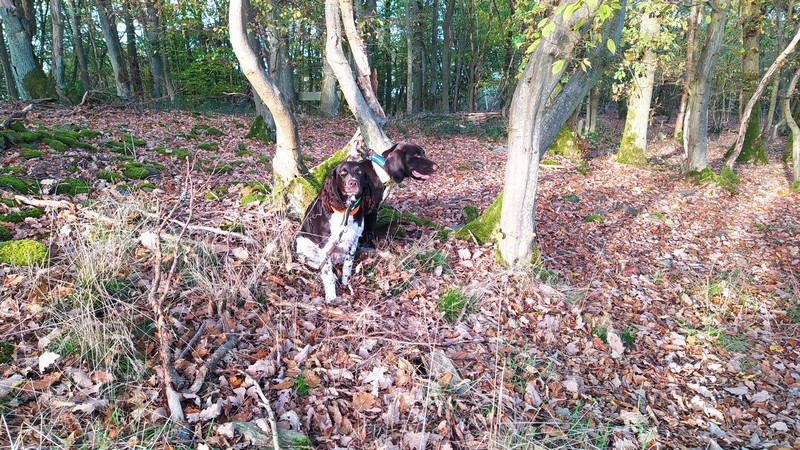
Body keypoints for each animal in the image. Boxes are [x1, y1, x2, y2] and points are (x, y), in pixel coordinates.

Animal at [296, 161, 377, 302]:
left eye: (359, 172)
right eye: (343, 173)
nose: (353, 183)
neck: (346, 211)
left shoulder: (354, 241)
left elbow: (348, 266)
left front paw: (346, 283)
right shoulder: (324, 245)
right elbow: (327, 273)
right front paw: (331, 296)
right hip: (301, 240)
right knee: (313, 262)